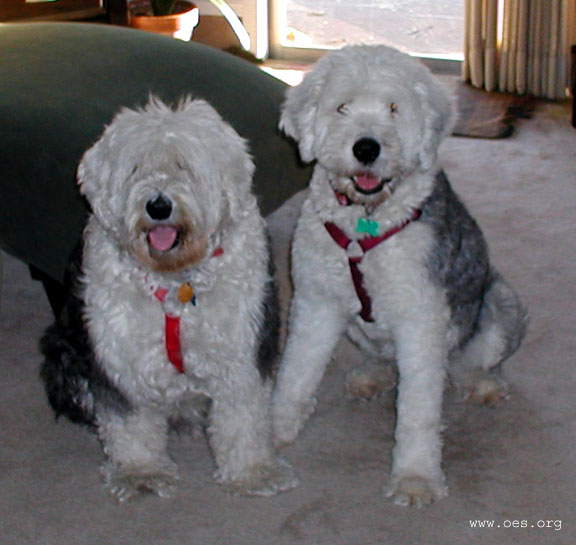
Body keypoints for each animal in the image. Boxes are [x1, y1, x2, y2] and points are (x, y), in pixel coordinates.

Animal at [41, 96, 296, 502]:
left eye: (184, 166)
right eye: (135, 168)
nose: (158, 206)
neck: (177, 283)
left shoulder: (241, 346)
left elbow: (244, 416)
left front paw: (253, 472)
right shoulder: (118, 352)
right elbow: (130, 422)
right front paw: (141, 473)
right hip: (63, 352)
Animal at [272, 45, 528, 506]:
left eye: (393, 108)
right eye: (342, 106)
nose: (366, 148)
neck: (364, 226)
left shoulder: (421, 318)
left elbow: (418, 412)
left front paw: (415, 478)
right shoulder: (317, 301)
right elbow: (296, 372)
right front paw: (272, 432)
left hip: (501, 300)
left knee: (467, 363)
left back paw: (483, 385)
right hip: (357, 330)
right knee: (385, 360)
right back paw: (370, 377)